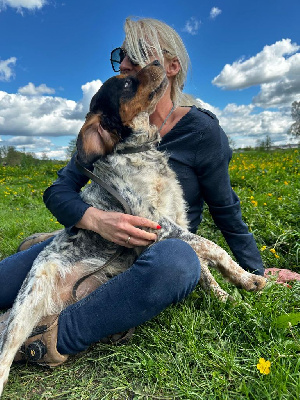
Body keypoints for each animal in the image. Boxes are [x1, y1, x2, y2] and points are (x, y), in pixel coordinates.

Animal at [0, 61, 268, 396]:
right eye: (126, 83)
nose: (156, 63)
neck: (140, 152)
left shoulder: (178, 218)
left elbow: (205, 269)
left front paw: (230, 294)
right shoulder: (155, 223)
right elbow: (212, 247)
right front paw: (245, 279)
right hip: (27, 302)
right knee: (6, 352)